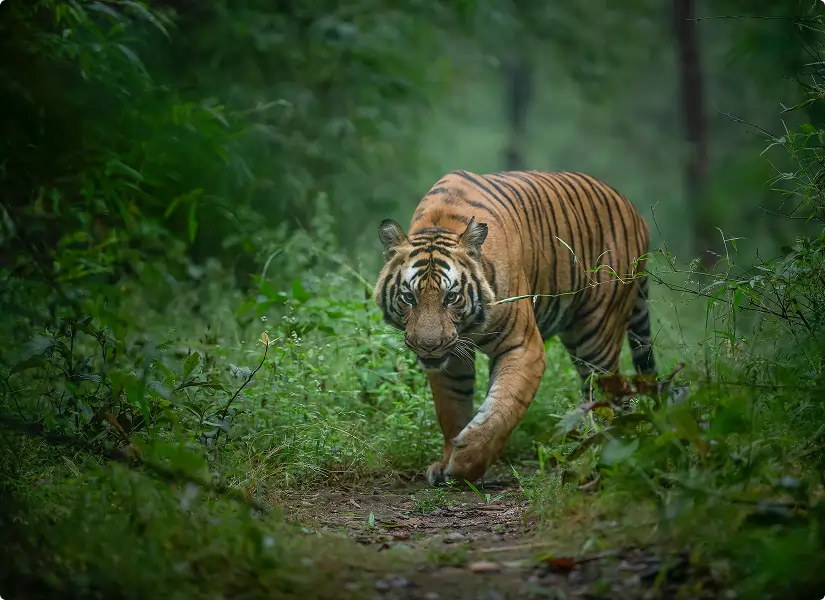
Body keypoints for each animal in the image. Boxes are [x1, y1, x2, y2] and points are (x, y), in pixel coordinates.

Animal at [373, 170, 656, 485]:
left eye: (451, 297)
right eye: (409, 297)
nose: (428, 346)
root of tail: (634, 210)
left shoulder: (523, 345)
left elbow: (501, 410)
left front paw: (465, 465)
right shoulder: (450, 358)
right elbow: (451, 408)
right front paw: (446, 462)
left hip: (597, 335)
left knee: (606, 394)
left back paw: (600, 451)